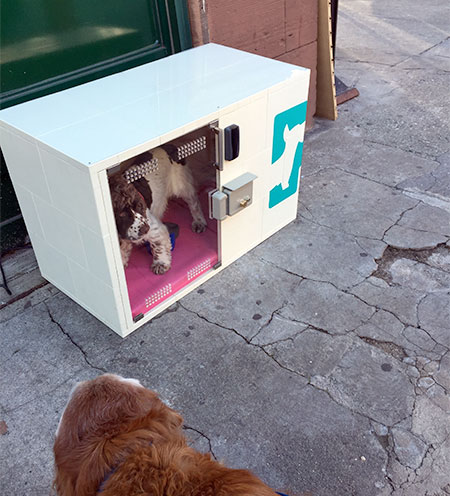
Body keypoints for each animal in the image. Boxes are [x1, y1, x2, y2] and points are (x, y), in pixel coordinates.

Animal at [109, 148, 207, 276]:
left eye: (140, 206)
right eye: (122, 214)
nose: (145, 229)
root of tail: (168, 146)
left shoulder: (154, 227)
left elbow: (159, 245)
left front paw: (160, 264)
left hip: (183, 185)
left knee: (194, 203)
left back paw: (199, 222)